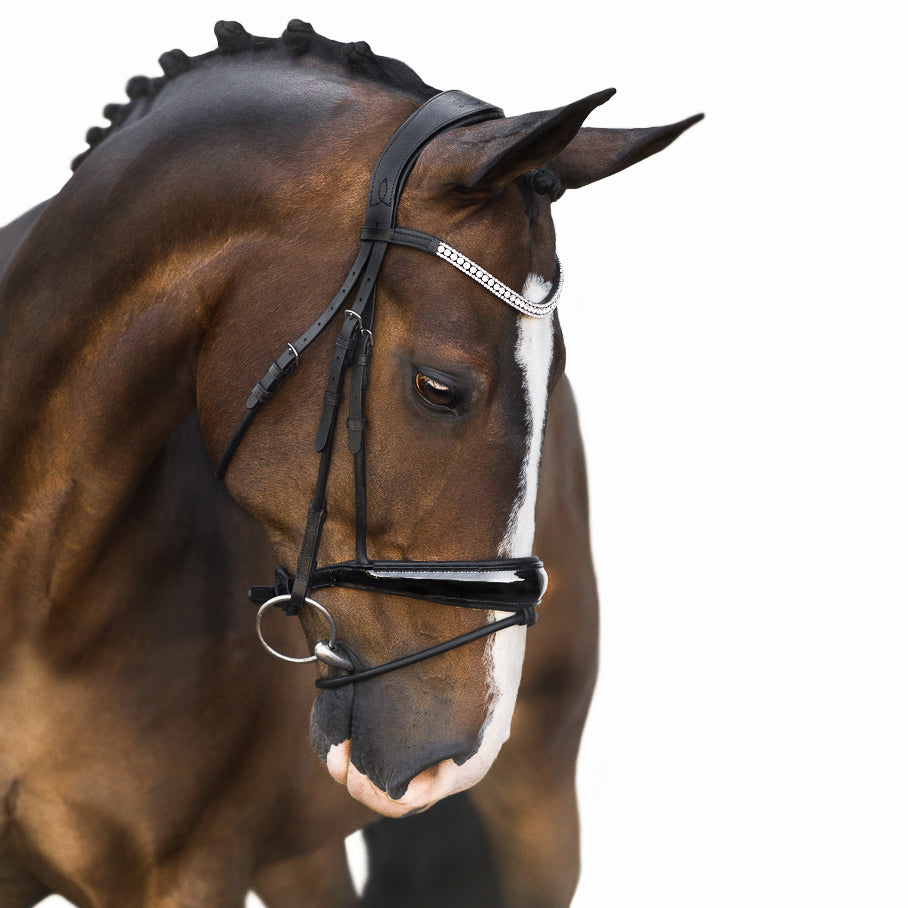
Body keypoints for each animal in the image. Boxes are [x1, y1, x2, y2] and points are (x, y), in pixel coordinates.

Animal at [0, 17, 704, 904]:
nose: (459, 753)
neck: (36, 606)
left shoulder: (186, 872)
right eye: (439, 388)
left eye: (557, 375)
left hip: (539, 805)